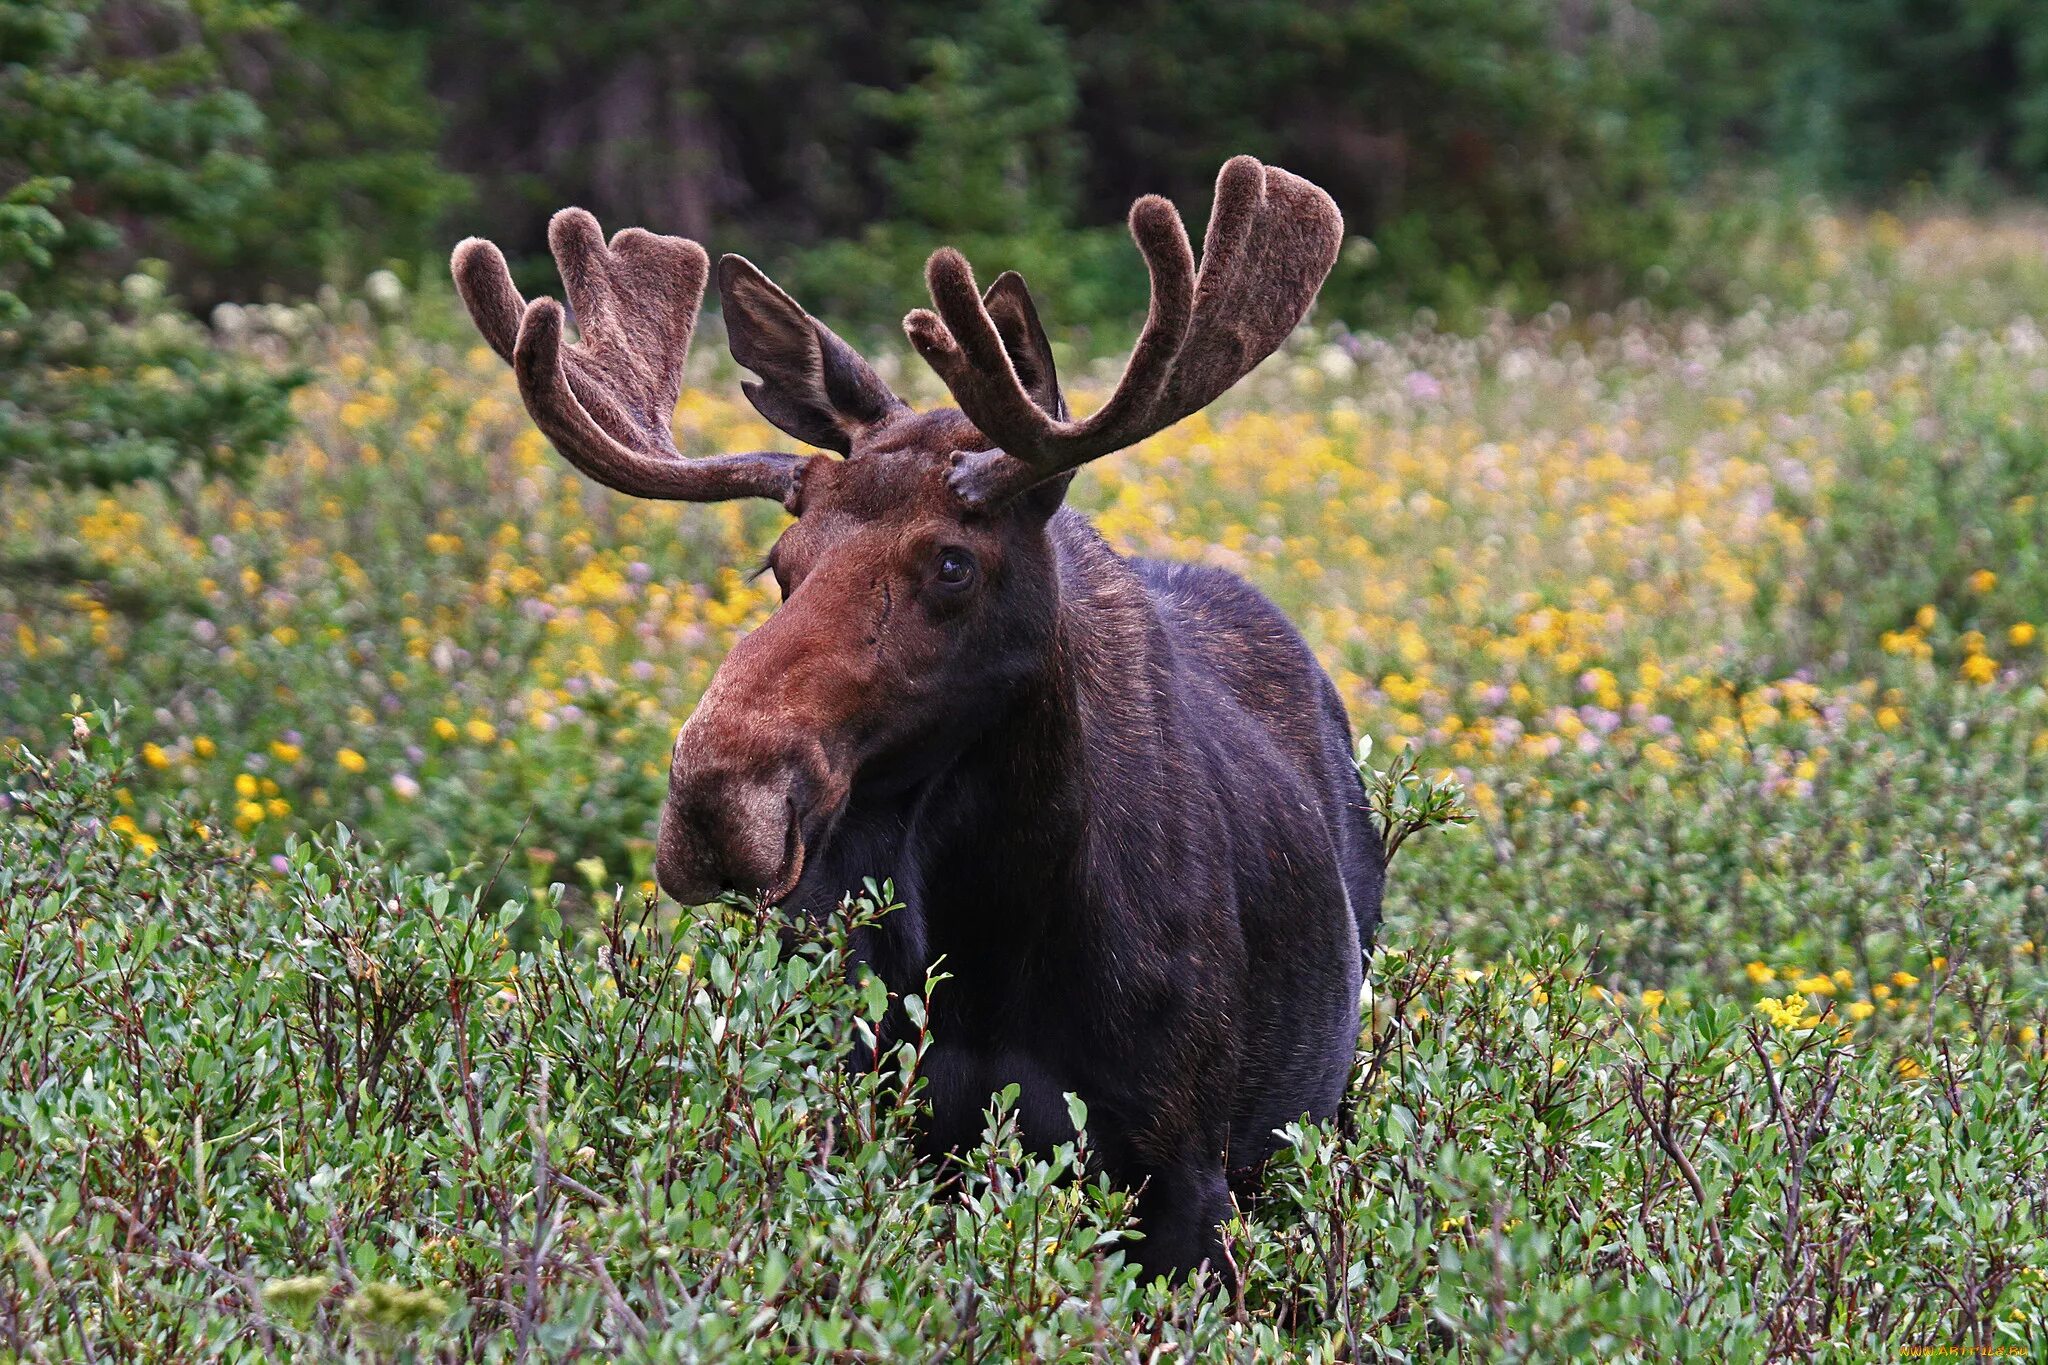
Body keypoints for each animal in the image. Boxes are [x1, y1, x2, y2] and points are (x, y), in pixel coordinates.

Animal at [454, 154, 1384, 1285]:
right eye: (779, 562)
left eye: (951, 561)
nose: (717, 801)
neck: (997, 935)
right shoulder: (852, 1119)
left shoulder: (1184, 1176)